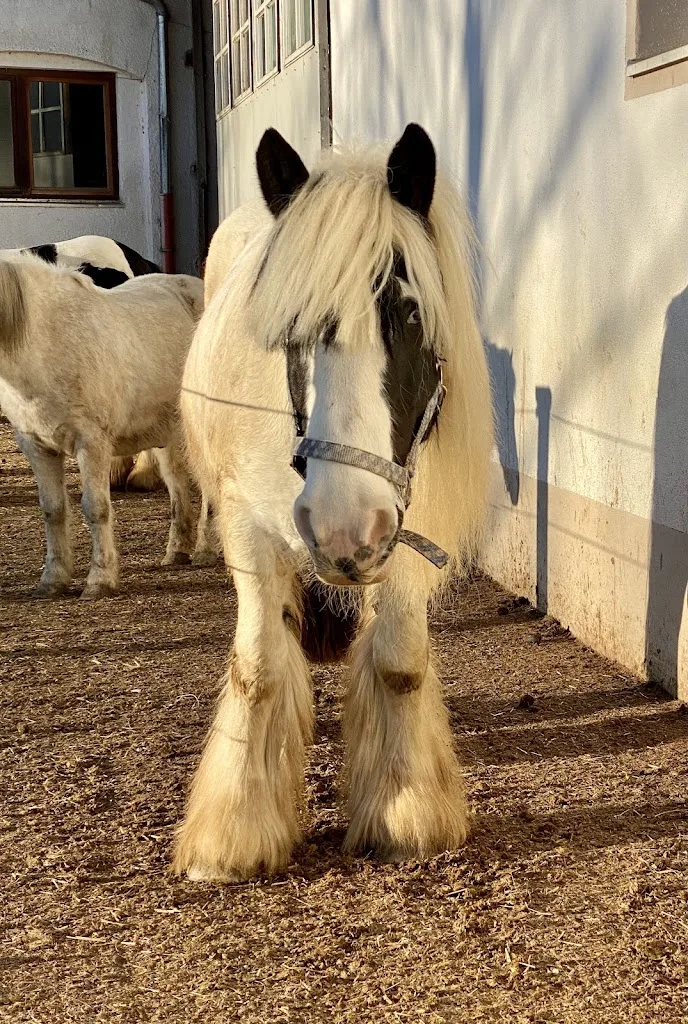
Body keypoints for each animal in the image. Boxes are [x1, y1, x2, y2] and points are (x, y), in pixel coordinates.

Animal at [174, 123, 494, 881]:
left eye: (410, 312)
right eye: (289, 326)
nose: (342, 527)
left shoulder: (408, 534)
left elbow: (399, 663)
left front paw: (406, 810)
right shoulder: (247, 529)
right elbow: (259, 668)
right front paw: (235, 829)